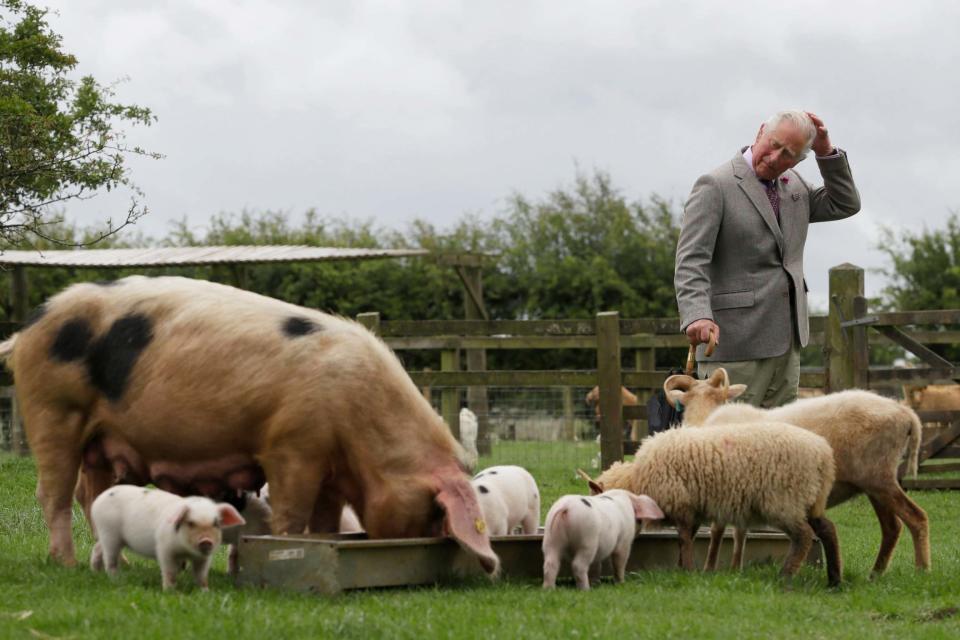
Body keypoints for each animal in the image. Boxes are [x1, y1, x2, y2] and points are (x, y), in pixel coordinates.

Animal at [90, 484, 246, 592]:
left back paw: (96, 572)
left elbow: (201, 574)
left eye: (216, 523)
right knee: (109, 559)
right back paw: (116, 578)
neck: (186, 551)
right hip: (109, 533)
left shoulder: (204, 557)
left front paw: (205, 591)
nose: (206, 540)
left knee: (97, 548)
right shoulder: (165, 549)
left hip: (108, 536)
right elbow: (169, 571)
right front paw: (170, 591)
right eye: (190, 523)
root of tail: (97, 501)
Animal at [576, 422, 840, 588]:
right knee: (827, 529)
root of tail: (823, 454)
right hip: (809, 500)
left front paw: (688, 571)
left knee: (803, 536)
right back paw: (834, 579)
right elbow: (688, 539)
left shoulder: (681, 505)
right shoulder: (692, 509)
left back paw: (785, 575)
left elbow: (684, 540)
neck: (636, 480)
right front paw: (683, 568)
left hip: (784, 500)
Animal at [664, 368, 928, 576]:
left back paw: (922, 570)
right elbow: (739, 533)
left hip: (879, 478)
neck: (706, 419)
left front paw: (710, 569)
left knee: (916, 518)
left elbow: (718, 532)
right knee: (892, 528)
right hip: (873, 483)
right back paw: (876, 574)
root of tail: (906, 414)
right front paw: (735, 569)